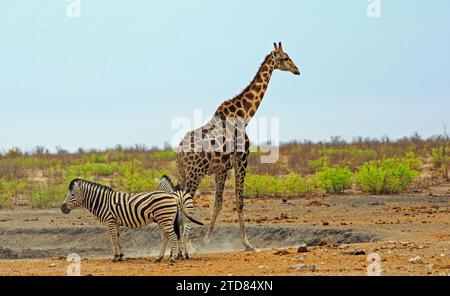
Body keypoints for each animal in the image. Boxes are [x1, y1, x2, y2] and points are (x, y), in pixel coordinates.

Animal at [60, 178, 203, 264]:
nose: (62, 208)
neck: (103, 202)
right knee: (166, 237)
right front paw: (120, 256)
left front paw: (115, 257)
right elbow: (118, 238)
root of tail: (174, 197)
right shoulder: (116, 222)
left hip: (166, 219)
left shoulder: (110, 221)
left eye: (72, 195)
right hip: (163, 219)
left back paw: (172, 259)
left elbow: (113, 239)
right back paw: (159, 258)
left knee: (173, 236)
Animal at [175, 42, 298, 250]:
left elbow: (218, 202)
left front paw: (206, 240)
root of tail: (179, 152)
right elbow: (239, 201)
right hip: (195, 173)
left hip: (184, 172)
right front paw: (247, 243)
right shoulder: (242, 160)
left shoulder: (221, 169)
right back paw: (187, 246)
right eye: (285, 58)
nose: (297, 70)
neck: (245, 115)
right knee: (184, 203)